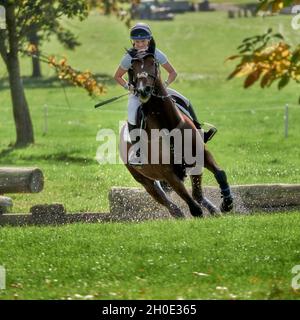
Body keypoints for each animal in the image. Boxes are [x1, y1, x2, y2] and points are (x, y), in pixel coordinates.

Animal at [118, 50, 233, 219]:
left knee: (197, 194)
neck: (168, 127)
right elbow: (188, 200)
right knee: (162, 197)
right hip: (142, 178)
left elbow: (220, 173)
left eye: (153, 63)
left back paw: (215, 210)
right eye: (132, 67)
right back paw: (179, 213)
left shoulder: (200, 155)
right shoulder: (167, 172)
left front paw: (227, 203)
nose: (143, 90)